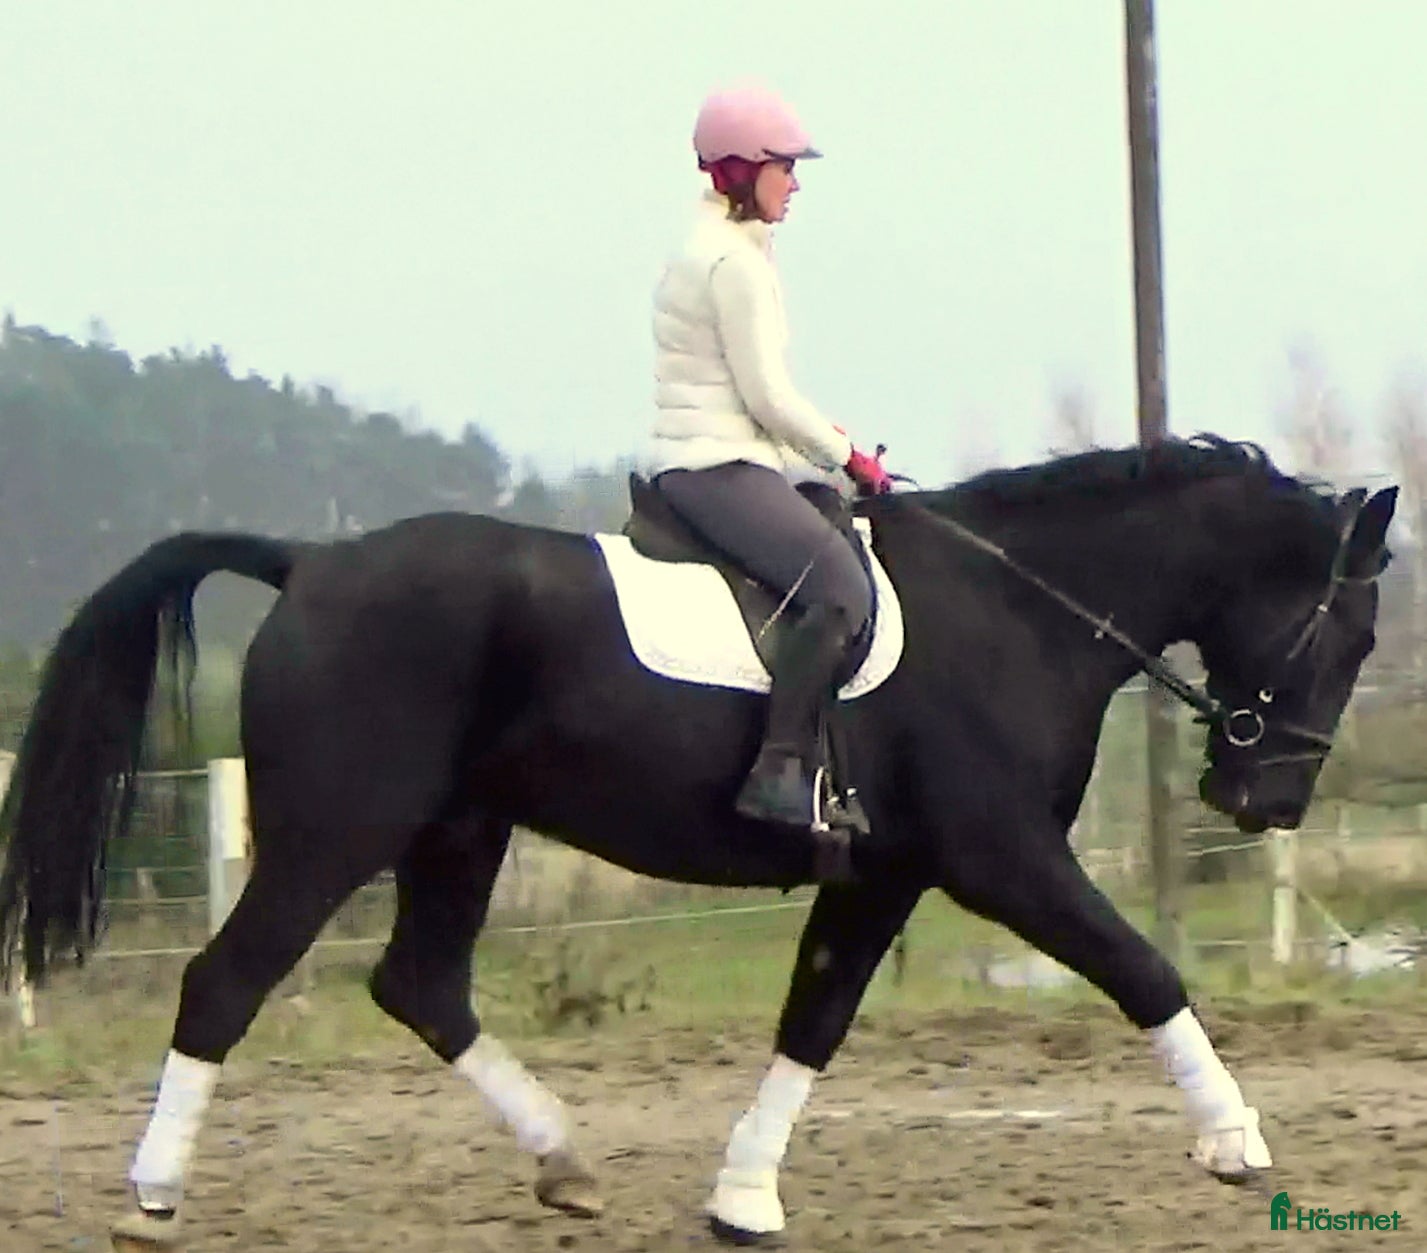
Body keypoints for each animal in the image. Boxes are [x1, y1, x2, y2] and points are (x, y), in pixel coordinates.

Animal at [0, 434, 1396, 1248]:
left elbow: (812, 1020)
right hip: (334, 829)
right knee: (224, 982)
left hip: (460, 829)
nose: (1265, 804)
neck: (1020, 609)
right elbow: (1142, 968)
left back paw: (564, 1160)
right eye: (1354, 632)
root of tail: (310, 564)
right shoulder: (998, 858)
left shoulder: (883, 873)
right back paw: (154, 1196)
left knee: (420, 984)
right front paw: (1235, 1142)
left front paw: (741, 1197)